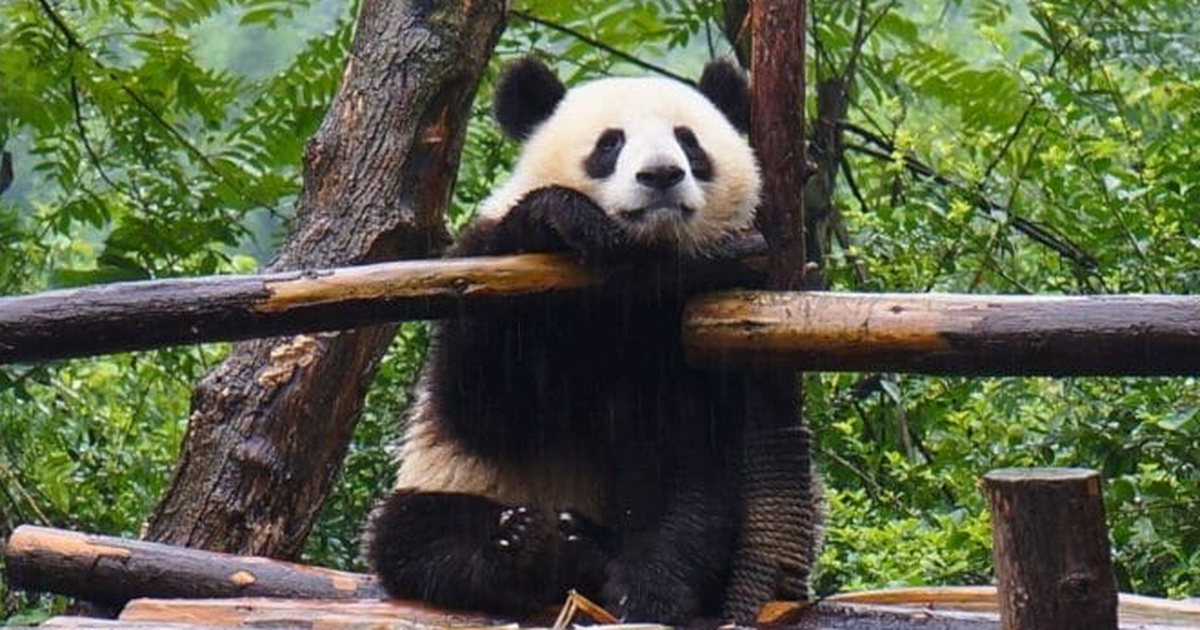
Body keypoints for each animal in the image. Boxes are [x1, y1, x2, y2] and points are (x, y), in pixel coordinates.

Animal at [365, 57, 766, 624]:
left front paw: (647, 591)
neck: (634, 267)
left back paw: (582, 547)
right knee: (416, 532)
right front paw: (560, 218)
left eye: (689, 142)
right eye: (610, 144)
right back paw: (523, 550)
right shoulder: (489, 268)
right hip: (454, 480)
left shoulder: (700, 318)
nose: (661, 175)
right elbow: (486, 406)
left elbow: (688, 469)